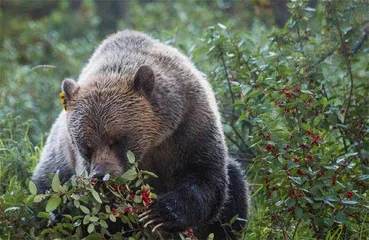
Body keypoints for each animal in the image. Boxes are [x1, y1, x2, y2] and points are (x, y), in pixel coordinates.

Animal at [33, 30, 249, 240]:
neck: (154, 140)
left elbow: (205, 176)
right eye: (86, 146)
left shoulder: (188, 124)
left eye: (117, 140)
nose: (101, 176)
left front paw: (160, 213)